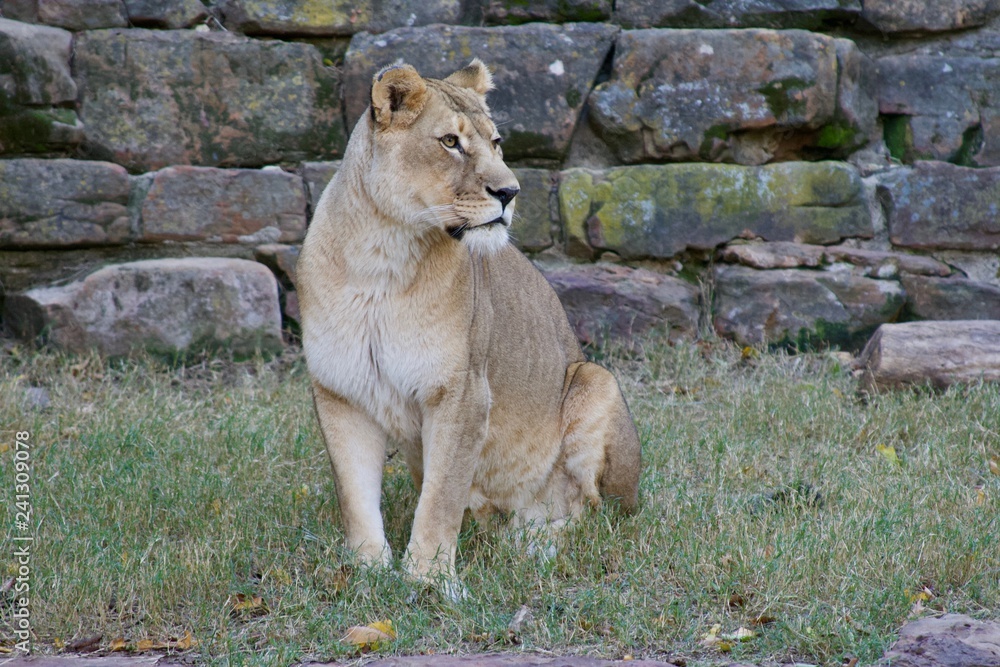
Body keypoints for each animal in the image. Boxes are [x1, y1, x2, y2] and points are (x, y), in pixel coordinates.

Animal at [297, 59, 641, 593]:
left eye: (496, 142)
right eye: (450, 142)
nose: (510, 191)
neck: (382, 253)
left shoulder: (462, 392)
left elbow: (441, 498)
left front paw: (428, 580)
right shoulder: (340, 390)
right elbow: (355, 496)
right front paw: (367, 571)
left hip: (595, 379)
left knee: (592, 512)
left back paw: (534, 543)